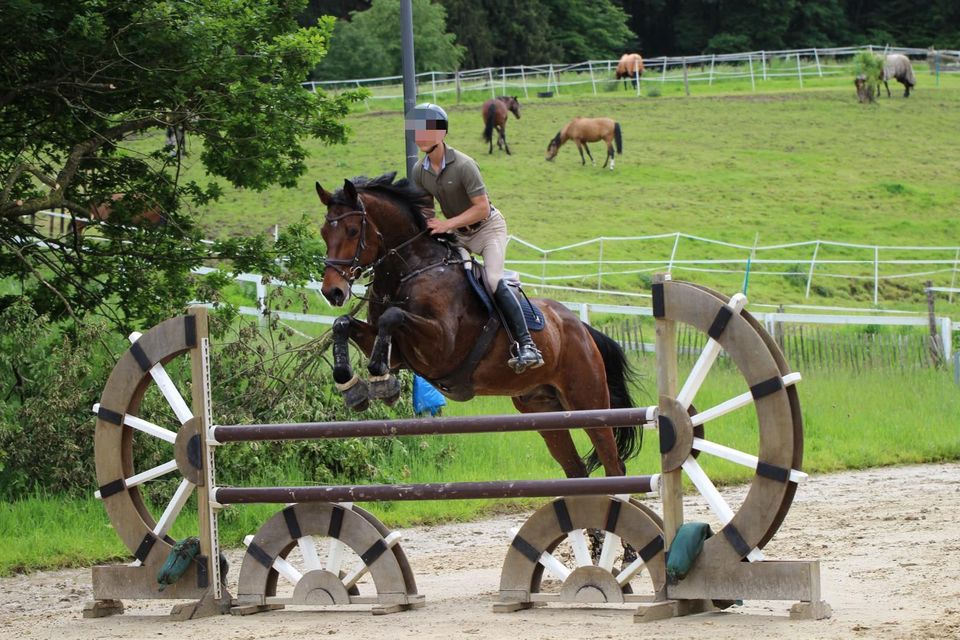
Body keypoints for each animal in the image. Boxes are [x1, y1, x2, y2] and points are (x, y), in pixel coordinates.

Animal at [318, 170, 640, 484]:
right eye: (323, 232)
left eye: (352, 231)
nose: (332, 291)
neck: (413, 269)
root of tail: (582, 328)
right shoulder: (397, 352)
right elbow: (342, 324)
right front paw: (352, 386)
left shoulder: (439, 348)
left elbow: (393, 316)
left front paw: (382, 384)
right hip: (542, 408)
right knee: (575, 469)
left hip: (587, 400)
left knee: (614, 464)